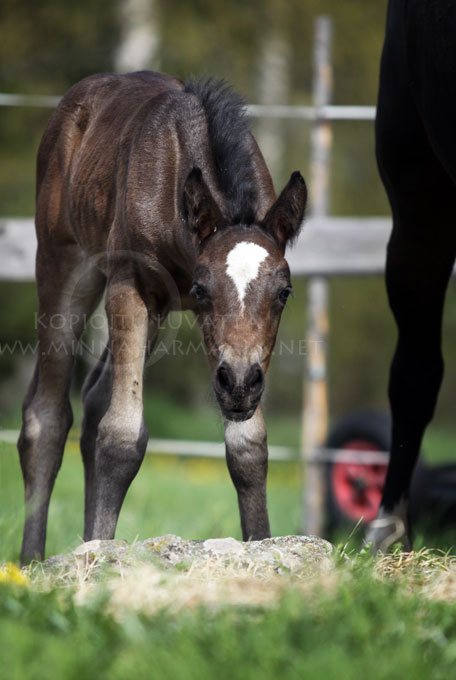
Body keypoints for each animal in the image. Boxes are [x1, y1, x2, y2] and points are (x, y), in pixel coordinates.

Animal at [18, 71, 310, 564]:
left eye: (284, 293)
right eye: (201, 290)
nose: (238, 383)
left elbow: (249, 446)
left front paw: (262, 549)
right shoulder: (130, 285)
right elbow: (121, 435)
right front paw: (100, 560)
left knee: (94, 396)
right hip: (62, 260)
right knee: (47, 416)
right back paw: (31, 561)